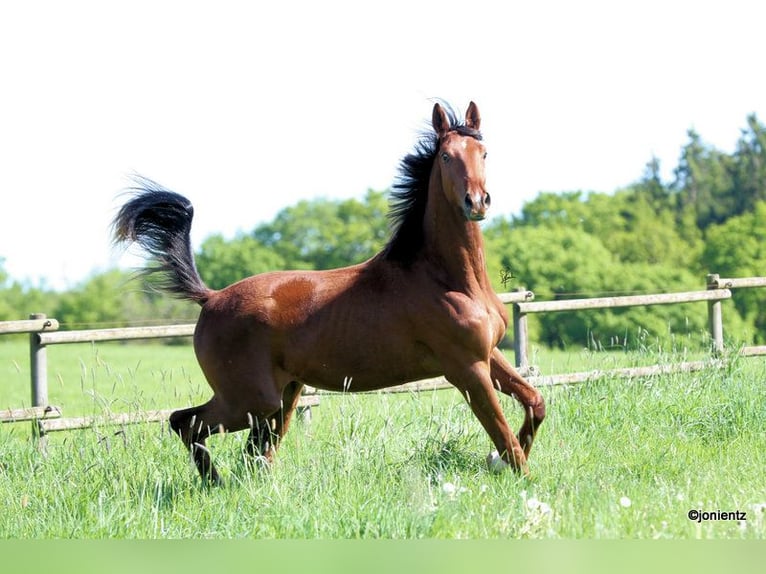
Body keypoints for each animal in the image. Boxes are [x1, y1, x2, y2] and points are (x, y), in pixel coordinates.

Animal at [112, 101, 545, 483]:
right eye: (445, 157)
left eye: (484, 152)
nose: (477, 202)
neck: (445, 278)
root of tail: (211, 297)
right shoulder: (465, 368)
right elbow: (505, 438)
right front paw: (517, 478)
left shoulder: (487, 355)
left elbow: (534, 403)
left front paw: (498, 462)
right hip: (249, 400)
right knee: (185, 423)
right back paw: (212, 483)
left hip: (281, 396)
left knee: (255, 453)